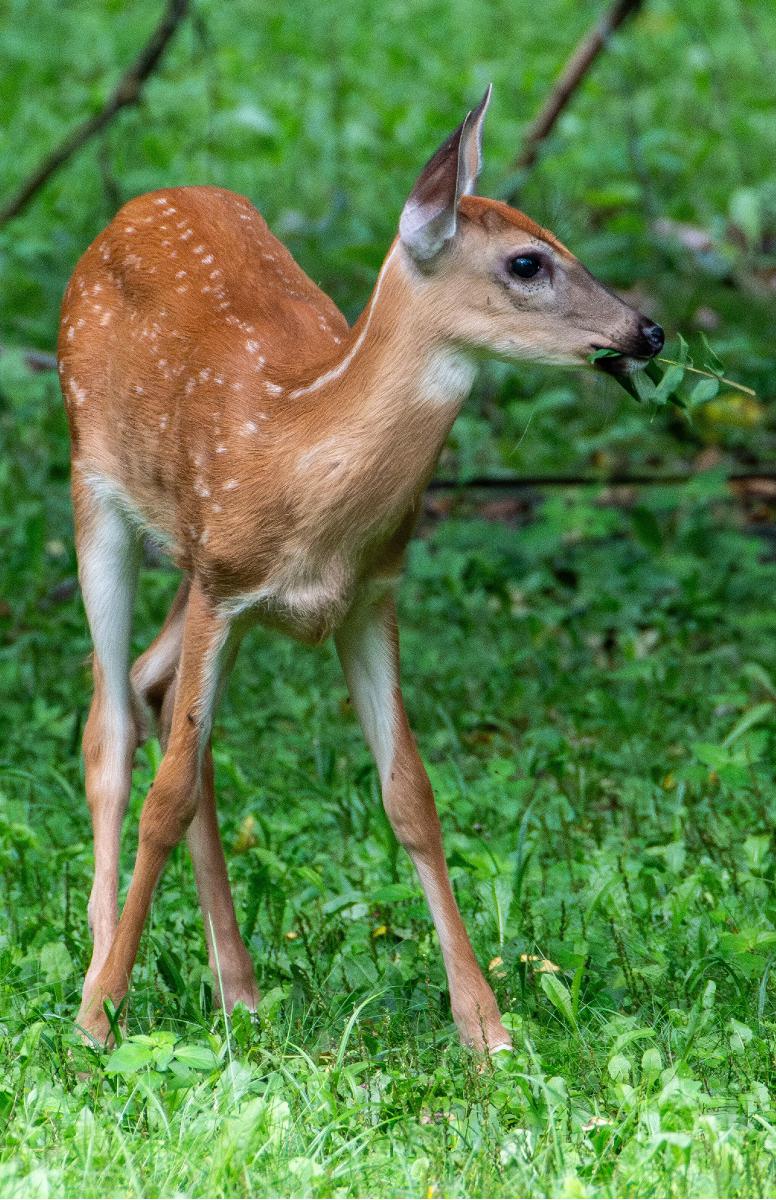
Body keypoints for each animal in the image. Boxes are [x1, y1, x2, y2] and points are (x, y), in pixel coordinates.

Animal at [58, 86, 663, 1052]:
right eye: (528, 261)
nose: (648, 331)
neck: (300, 451)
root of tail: (136, 204)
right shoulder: (225, 589)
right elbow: (165, 795)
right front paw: (100, 1017)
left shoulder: (368, 596)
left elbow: (410, 795)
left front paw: (485, 1030)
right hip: (96, 489)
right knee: (110, 729)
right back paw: (100, 969)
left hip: (189, 553)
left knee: (157, 695)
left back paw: (240, 989)